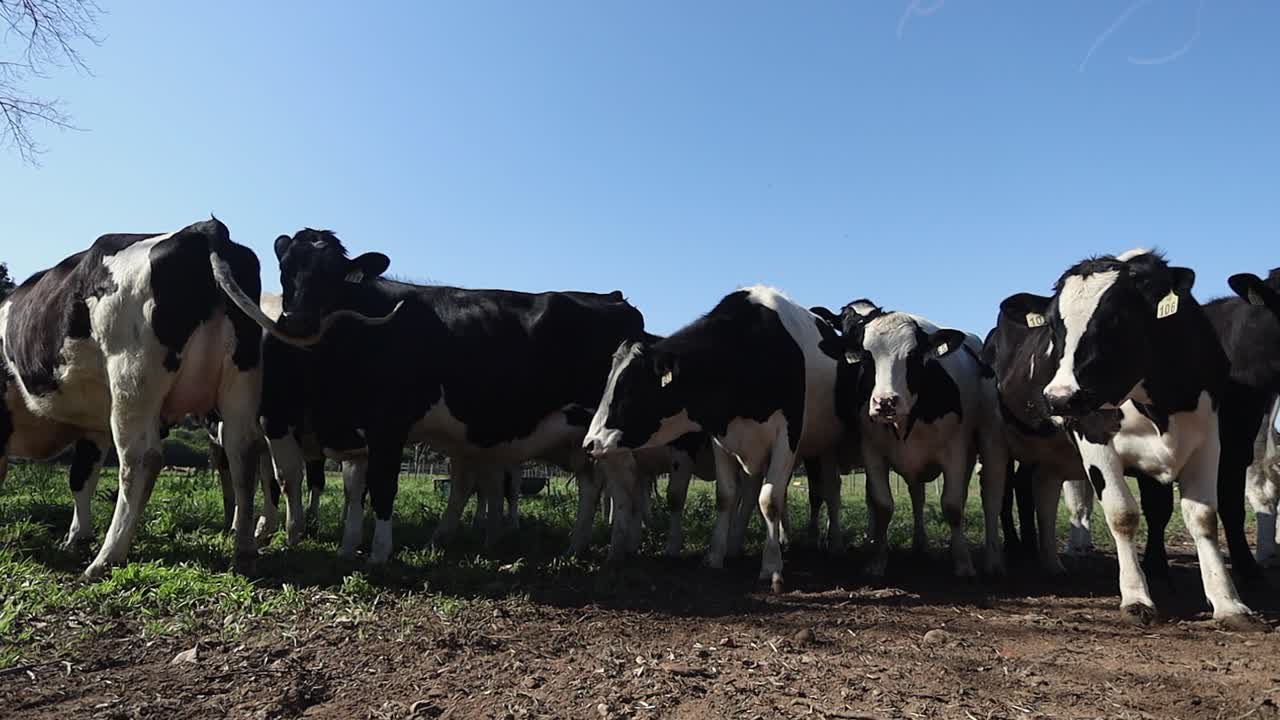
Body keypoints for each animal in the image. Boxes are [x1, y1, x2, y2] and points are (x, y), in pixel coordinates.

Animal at [0, 218, 265, 578]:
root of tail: (202, 228)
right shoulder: (93, 426)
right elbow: (81, 478)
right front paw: (76, 538)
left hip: (132, 377)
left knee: (141, 460)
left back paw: (106, 557)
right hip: (240, 381)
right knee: (243, 452)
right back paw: (245, 551)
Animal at [214, 228, 645, 564]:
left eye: (335, 276)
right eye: (286, 268)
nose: (298, 321)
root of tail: (613, 298)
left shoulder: (388, 426)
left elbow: (382, 486)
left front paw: (379, 553)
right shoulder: (355, 436)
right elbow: (355, 492)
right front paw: (347, 547)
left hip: (611, 432)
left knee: (625, 488)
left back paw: (619, 550)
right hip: (581, 438)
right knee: (593, 485)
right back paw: (578, 547)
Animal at [582, 285, 855, 591]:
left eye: (629, 389)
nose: (590, 442)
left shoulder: (787, 437)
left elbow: (769, 501)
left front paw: (772, 568)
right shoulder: (722, 437)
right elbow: (727, 496)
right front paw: (715, 555)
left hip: (825, 445)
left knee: (830, 489)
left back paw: (835, 544)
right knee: (751, 491)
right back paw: (737, 545)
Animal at [819, 301, 1008, 577]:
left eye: (913, 356)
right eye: (867, 357)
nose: (885, 402)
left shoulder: (955, 451)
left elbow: (952, 506)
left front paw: (963, 562)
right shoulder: (872, 453)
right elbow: (883, 505)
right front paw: (877, 560)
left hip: (990, 439)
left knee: (991, 496)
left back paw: (993, 560)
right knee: (918, 495)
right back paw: (920, 544)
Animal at [994, 249, 1260, 629]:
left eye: (1116, 321)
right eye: (1053, 326)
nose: (1059, 399)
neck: (1163, 402)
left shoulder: (1208, 439)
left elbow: (1204, 517)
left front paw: (1227, 601)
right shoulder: (1093, 435)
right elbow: (1122, 514)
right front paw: (1137, 597)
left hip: (1051, 455)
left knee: (1041, 489)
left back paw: (1050, 562)